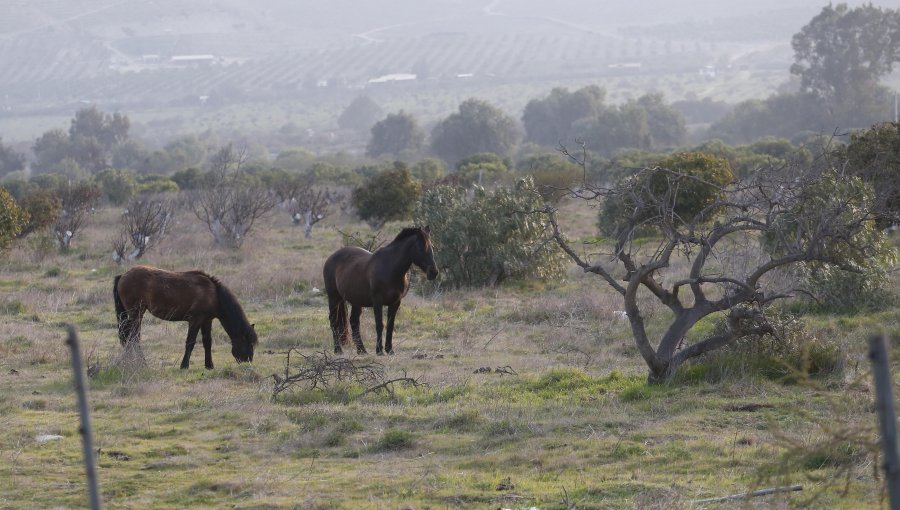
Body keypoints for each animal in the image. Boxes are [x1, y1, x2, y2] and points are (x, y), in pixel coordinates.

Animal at [113, 264, 256, 368]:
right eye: (250, 344)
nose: (247, 363)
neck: (214, 294)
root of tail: (123, 275)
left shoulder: (207, 321)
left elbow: (207, 342)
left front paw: (209, 365)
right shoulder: (195, 320)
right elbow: (190, 342)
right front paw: (184, 365)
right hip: (136, 314)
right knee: (133, 337)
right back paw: (142, 363)